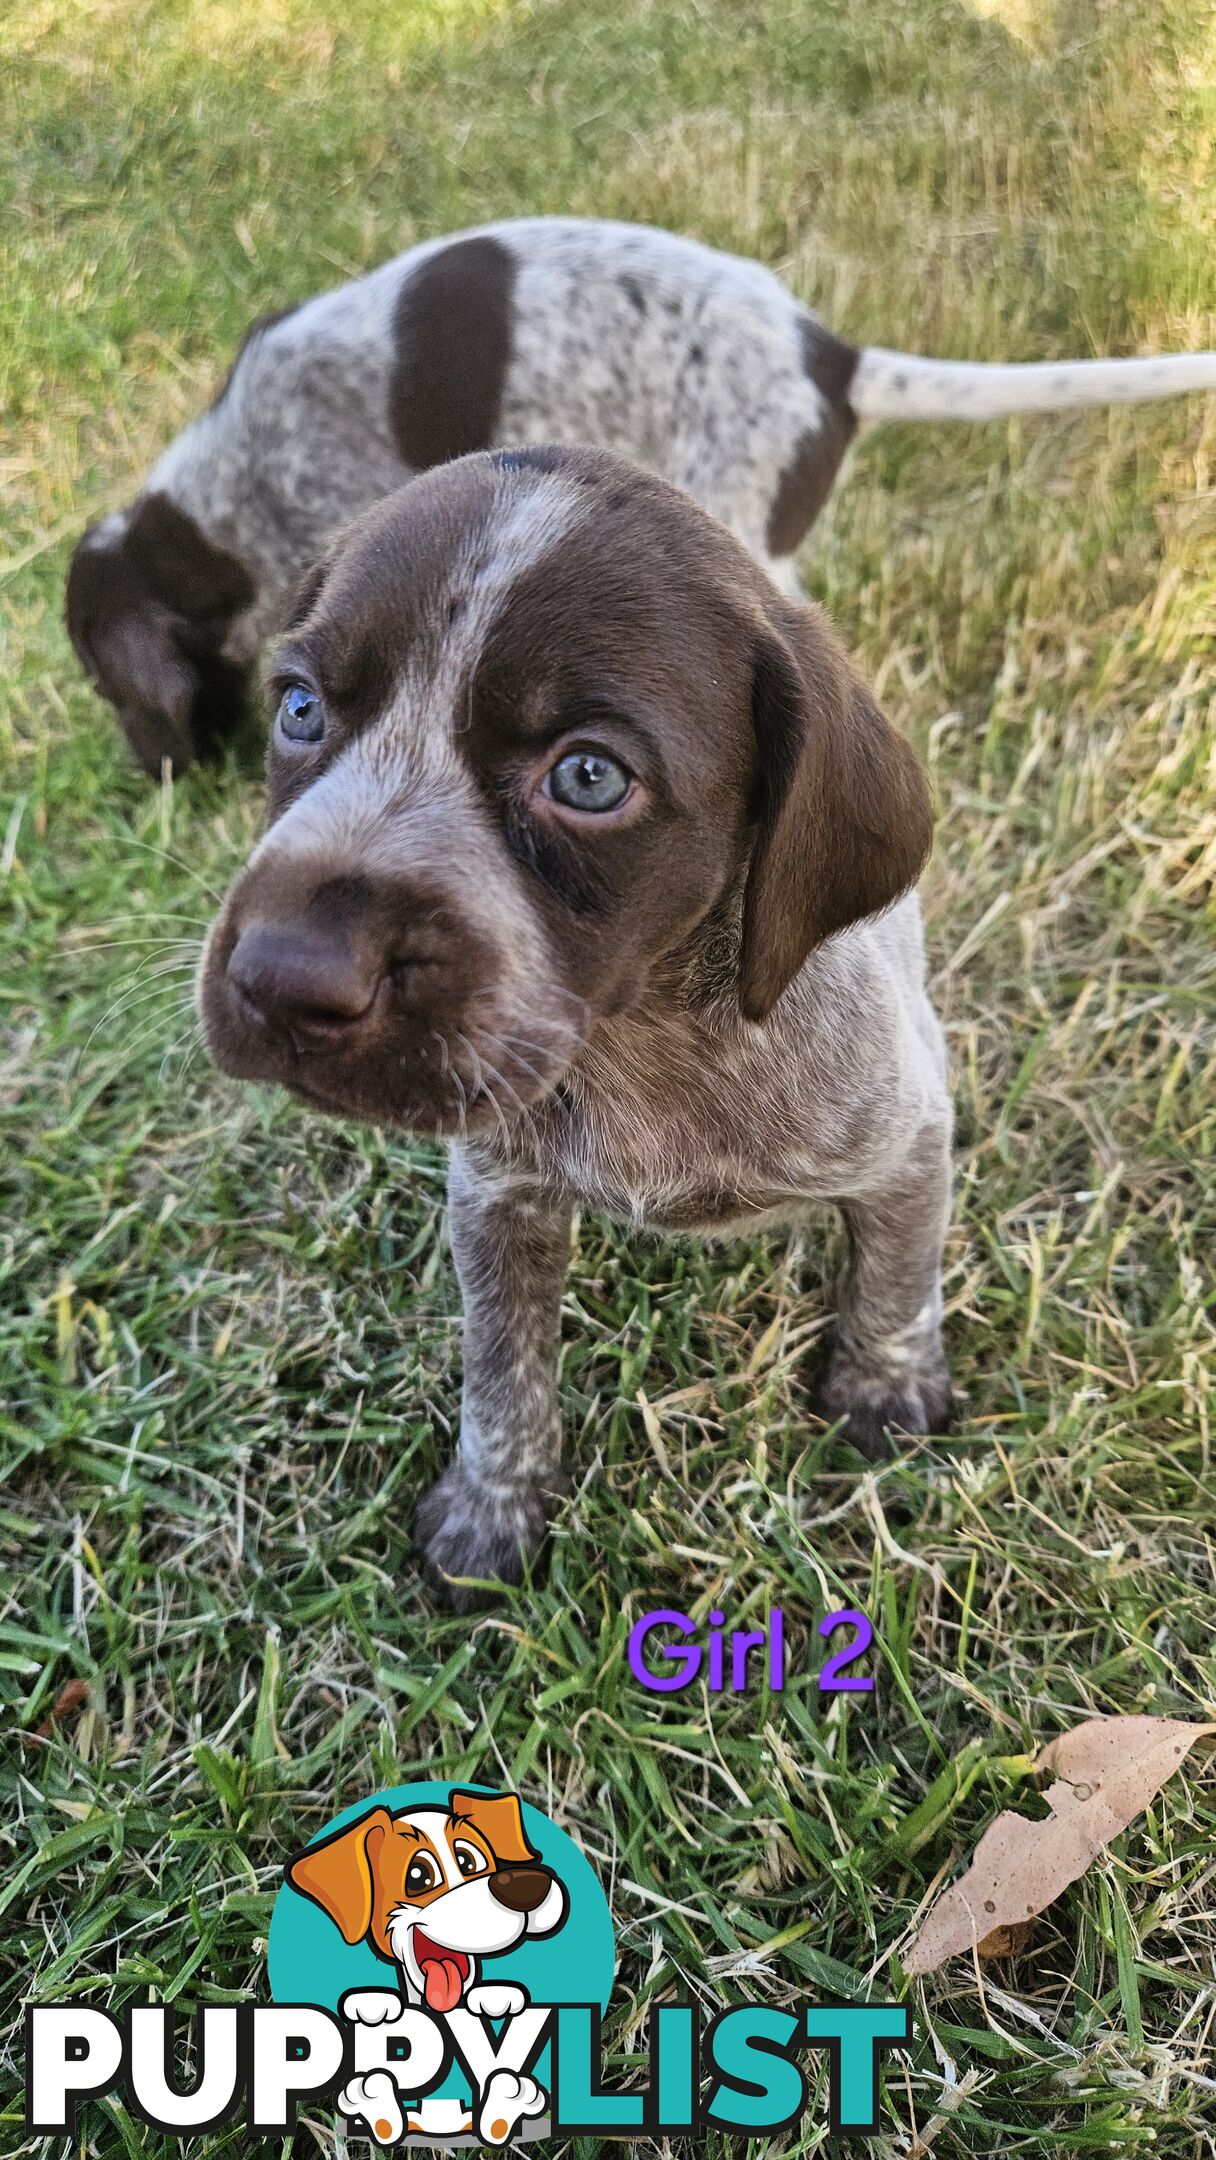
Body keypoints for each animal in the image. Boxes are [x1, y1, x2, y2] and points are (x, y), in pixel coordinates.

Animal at [199, 447, 954, 1598]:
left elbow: (898, 1276)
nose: (284, 977)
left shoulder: (909, 1133)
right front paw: (494, 1503)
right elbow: (502, 1371)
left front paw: (885, 1386)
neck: (640, 1036)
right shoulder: (497, 1197)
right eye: (298, 711)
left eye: (590, 776)